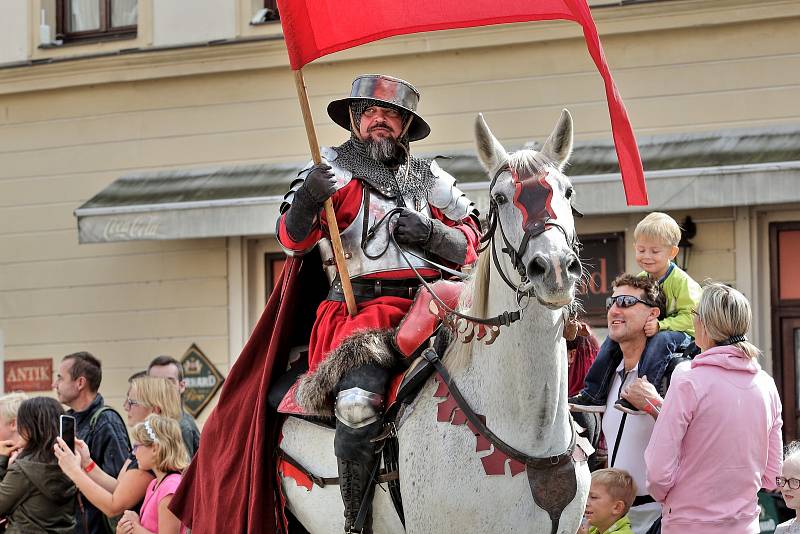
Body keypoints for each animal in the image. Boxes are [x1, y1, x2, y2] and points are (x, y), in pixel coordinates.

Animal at [278, 111, 592, 532]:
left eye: (568, 192)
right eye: (500, 197)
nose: (555, 269)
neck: (529, 427)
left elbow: (464, 231)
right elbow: (292, 234)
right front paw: (316, 186)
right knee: (357, 404)